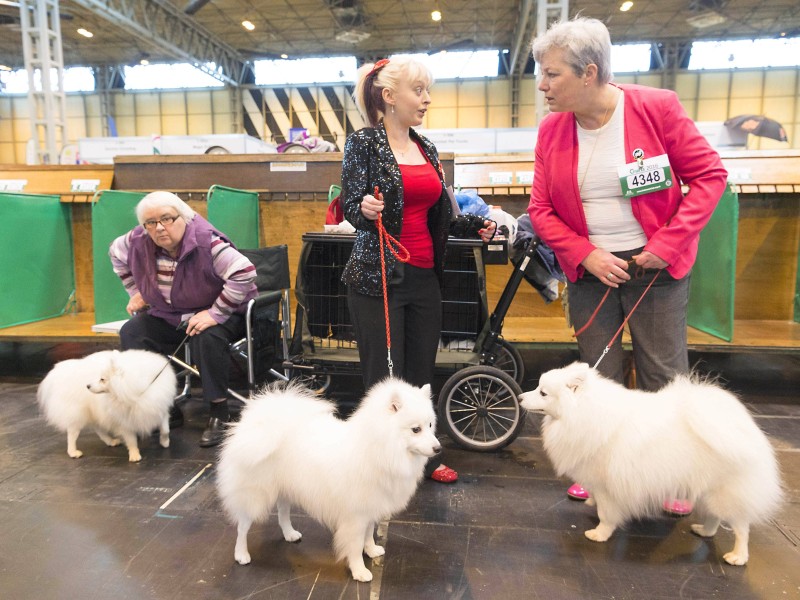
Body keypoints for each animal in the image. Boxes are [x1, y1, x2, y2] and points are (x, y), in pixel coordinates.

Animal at [37, 350, 177, 462]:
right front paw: (134, 455)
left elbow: (165, 429)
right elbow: (131, 439)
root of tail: (61, 372)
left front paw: (165, 442)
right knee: (72, 434)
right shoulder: (123, 419)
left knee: (98, 428)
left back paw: (111, 441)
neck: (138, 391)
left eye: (102, 379)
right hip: (78, 413)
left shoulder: (159, 409)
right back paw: (73, 452)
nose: (87, 386)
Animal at [216, 380, 440, 580]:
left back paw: (290, 534)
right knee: (242, 526)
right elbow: (355, 545)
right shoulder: (356, 515)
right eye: (416, 429)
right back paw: (241, 554)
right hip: (254, 495)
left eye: (430, 425)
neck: (379, 449)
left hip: (285, 488)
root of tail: (255, 422)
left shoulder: (371, 507)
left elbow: (369, 534)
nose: (438, 448)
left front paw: (371, 550)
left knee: (282, 514)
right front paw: (359, 571)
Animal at [520, 360, 780, 568]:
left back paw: (738, 556)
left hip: (725, 490)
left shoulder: (607, 487)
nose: (520, 397)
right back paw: (704, 531)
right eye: (538, 388)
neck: (583, 414)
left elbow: (606, 514)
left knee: (741, 527)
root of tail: (741, 423)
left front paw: (599, 534)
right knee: (715, 517)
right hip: (707, 490)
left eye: (543, 393)